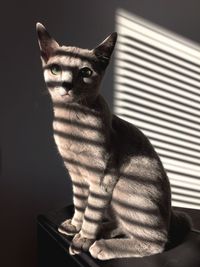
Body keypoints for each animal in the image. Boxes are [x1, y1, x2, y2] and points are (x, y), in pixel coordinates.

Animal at [36, 23, 191, 262]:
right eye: (55, 69)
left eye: (85, 72)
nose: (66, 84)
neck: (71, 122)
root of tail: (171, 215)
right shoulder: (76, 175)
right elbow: (80, 204)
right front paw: (74, 226)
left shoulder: (102, 178)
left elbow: (91, 212)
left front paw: (82, 239)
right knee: (124, 226)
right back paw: (104, 231)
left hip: (124, 190)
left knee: (155, 241)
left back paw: (101, 245)